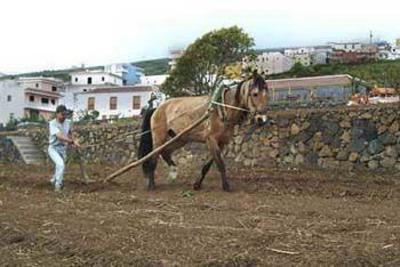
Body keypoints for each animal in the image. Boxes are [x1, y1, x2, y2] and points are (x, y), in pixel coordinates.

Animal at [138, 72, 268, 192]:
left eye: (267, 93)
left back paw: (174, 172)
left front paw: (197, 184)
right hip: (159, 138)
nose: (262, 119)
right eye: (255, 94)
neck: (221, 108)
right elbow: (220, 164)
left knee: (165, 152)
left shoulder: (221, 142)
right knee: (154, 157)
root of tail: (157, 108)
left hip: (180, 138)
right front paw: (226, 186)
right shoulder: (211, 139)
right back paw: (151, 184)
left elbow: (208, 165)